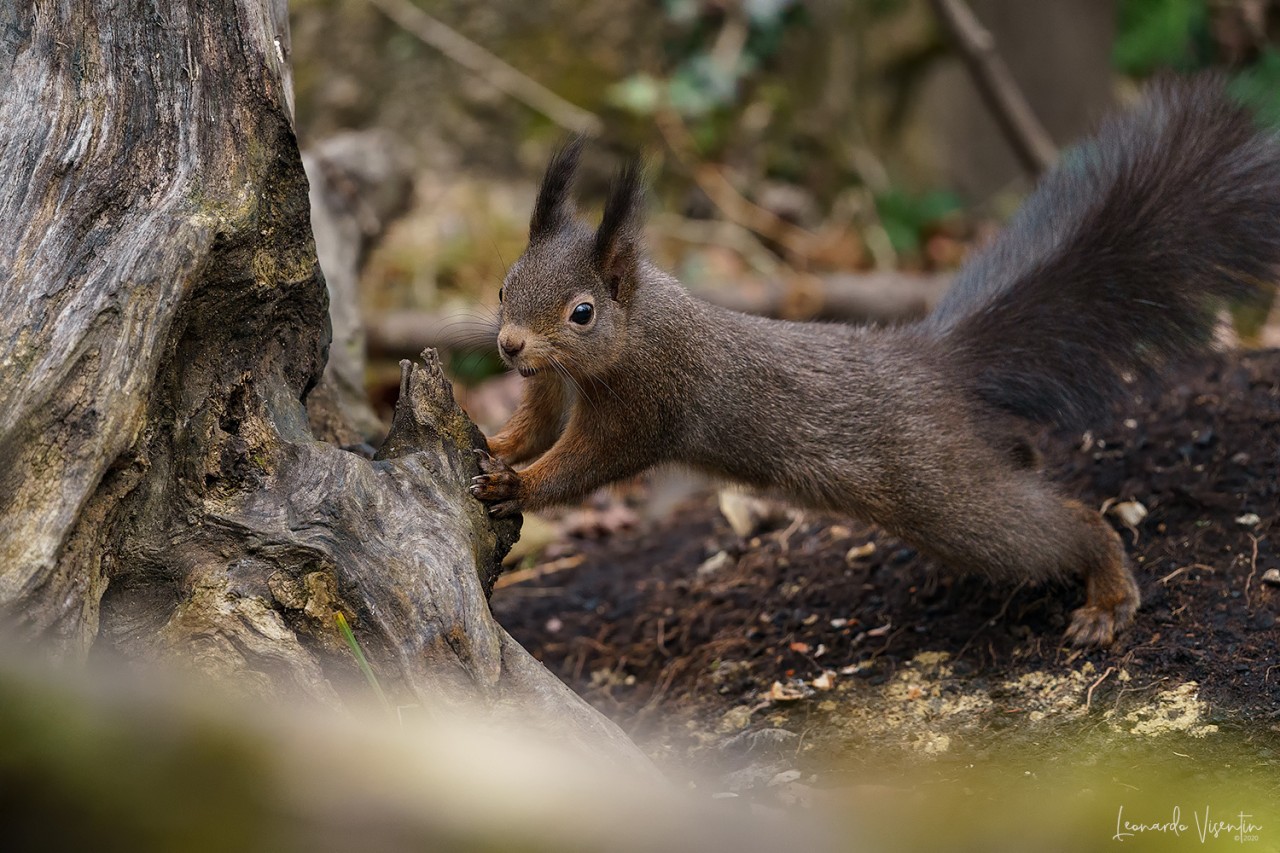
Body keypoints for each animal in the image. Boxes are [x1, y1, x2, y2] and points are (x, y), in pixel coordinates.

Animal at [470, 76, 1280, 647]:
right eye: (505, 284)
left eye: (582, 313)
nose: (509, 346)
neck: (632, 331)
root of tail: (936, 364)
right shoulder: (551, 384)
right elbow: (538, 424)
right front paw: (497, 442)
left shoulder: (650, 400)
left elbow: (590, 460)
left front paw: (518, 482)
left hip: (943, 497)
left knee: (1051, 525)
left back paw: (1107, 589)